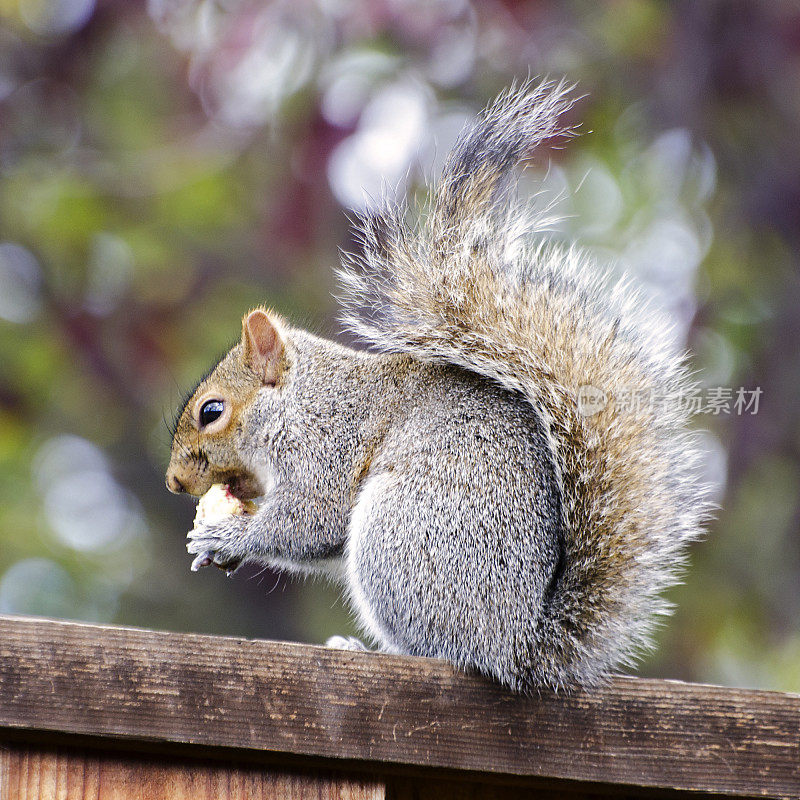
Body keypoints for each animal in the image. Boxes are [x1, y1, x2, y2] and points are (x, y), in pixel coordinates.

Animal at [166, 83, 708, 692]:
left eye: (212, 411)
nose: (174, 482)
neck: (302, 400)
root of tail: (519, 647)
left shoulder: (327, 448)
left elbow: (312, 521)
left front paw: (226, 539)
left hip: (399, 538)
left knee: (444, 651)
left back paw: (368, 650)